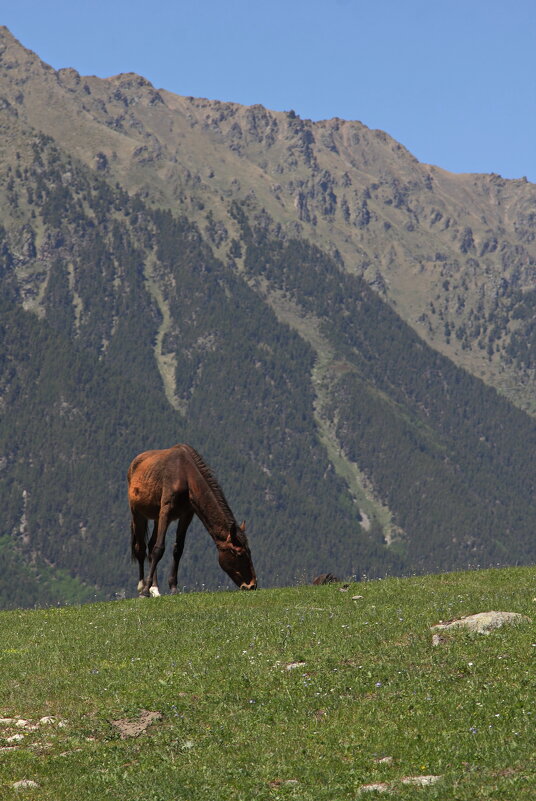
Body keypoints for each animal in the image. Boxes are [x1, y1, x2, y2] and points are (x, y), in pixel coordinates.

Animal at [127, 444, 258, 592]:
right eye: (239, 554)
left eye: (249, 552)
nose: (252, 585)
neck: (185, 475)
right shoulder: (166, 512)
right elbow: (158, 549)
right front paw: (145, 591)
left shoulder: (186, 515)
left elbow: (178, 549)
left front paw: (173, 588)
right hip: (137, 513)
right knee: (141, 548)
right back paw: (142, 586)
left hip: (156, 517)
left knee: (149, 545)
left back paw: (155, 589)